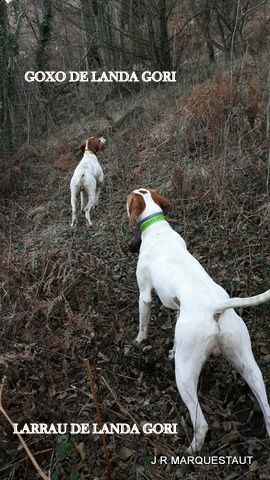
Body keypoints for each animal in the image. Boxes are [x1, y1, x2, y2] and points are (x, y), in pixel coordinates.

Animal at [127, 188, 270, 454]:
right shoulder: (177, 309)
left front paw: (139, 341)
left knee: (201, 423)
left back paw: (192, 450)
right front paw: (170, 349)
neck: (156, 225)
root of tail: (216, 307)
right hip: (245, 361)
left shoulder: (145, 296)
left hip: (184, 374)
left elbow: (143, 323)